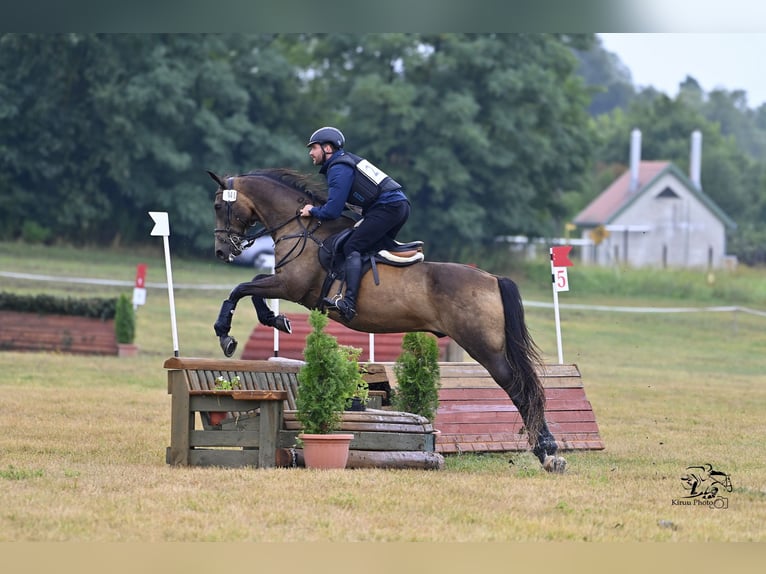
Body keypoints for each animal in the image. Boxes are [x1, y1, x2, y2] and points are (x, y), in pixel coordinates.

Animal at [207, 169, 568, 474]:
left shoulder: (290, 286)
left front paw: (227, 335)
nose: (222, 252)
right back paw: (548, 452)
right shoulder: (285, 286)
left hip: (484, 347)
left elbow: (241, 288)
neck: (302, 229)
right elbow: (252, 287)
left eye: (218, 205)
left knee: (519, 388)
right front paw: (275, 319)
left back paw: (548, 453)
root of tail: (492, 278)